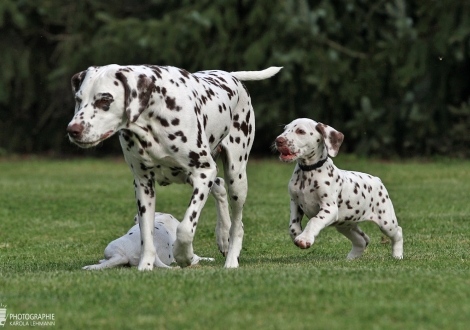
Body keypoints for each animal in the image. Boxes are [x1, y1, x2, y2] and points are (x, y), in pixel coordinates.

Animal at [67, 63, 280, 270]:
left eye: (104, 100)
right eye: (78, 98)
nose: (72, 130)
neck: (153, 117)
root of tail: (231, 75)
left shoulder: (204, 173)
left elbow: (185, 228)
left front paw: (184, 256)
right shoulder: (143, 184)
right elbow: (146, 234)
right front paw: (145, 266)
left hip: (236, 179)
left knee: (238, 223)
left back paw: (231, 259)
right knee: (219, 186)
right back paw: (222, 235)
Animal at [276, 118, 404, 260]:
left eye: (300, 131)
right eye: (285, 129)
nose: (278, 140)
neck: (308, 172)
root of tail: (377, 179)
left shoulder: (329, 208)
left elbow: (314, 221)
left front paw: (304, 239)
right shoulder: (295, 202)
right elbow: (292, 225)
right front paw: (298, 234)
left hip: (386, 222)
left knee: (398, 232)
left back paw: (397, 255)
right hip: (345, 225)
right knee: (363, 239)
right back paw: (351, 258)